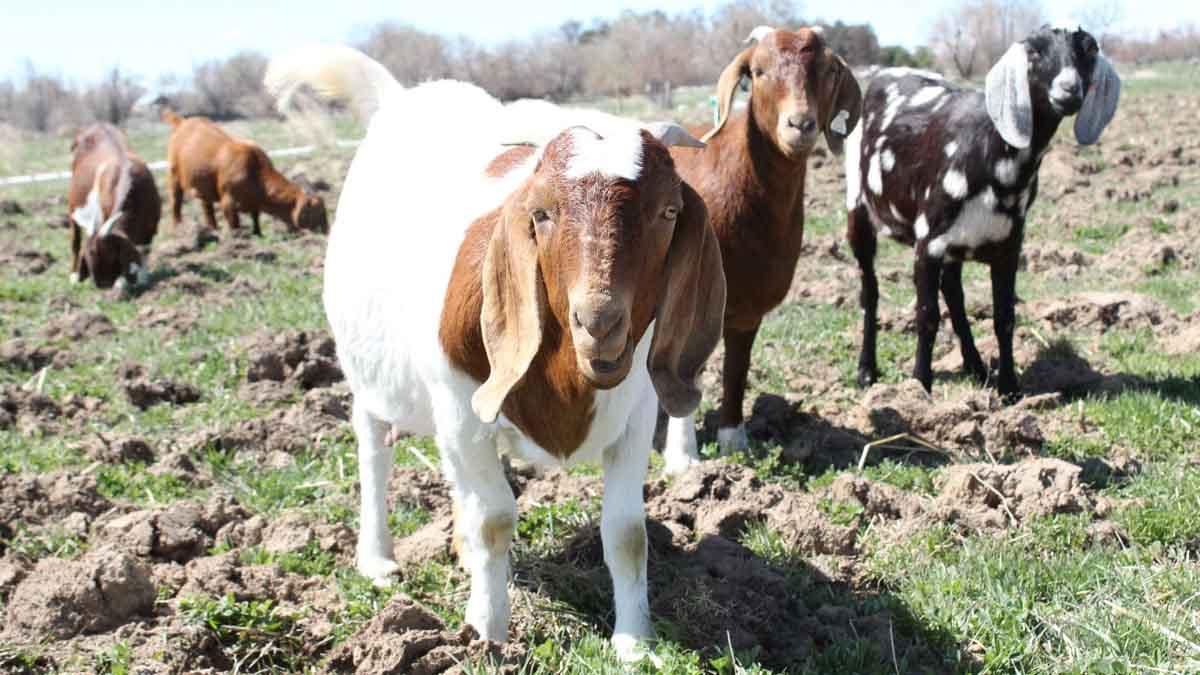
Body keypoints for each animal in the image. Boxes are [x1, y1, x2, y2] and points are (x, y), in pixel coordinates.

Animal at [162, 109, 328, 235]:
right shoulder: (228, 200)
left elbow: (255, 217)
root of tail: (182, 122)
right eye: (318, 212)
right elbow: (234, 222)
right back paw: (178, 226)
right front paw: (237, 237)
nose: (326, 231)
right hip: (174, 175)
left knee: (206, 206)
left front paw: (258, 234)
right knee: (176, 201)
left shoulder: (254, 203)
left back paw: (213, 229)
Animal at [266, 45, 724, 658]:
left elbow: (627, 533)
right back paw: (379, 556)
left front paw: (635, 643)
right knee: (374, 451)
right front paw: (488, 635)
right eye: (542, 212)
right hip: (370, 375)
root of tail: (400, 96)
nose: (599, 322)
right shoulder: (458, 412)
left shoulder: (637, 413)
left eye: (668, 212)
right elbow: (494, 521)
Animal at [657, 23, 864, 470]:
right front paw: (683, 459)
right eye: (758, 72)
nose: (800, 124)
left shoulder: (748, 306)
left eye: (826, 70)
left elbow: (737, 368)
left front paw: (735, 441)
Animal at [844, 26, 1123, 396]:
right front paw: (920, 387)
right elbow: (927, 315)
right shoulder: (927, 242)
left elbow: (1004, 316)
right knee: (870, 291)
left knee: (953, 292)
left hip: (957, 245)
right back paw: (866, 371)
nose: (1069, 90)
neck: (989, 148)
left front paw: (1009, 388)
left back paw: (975, 365)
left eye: (1089, 50)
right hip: (858, 209)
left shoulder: (1008, 245)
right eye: (1035, 51)